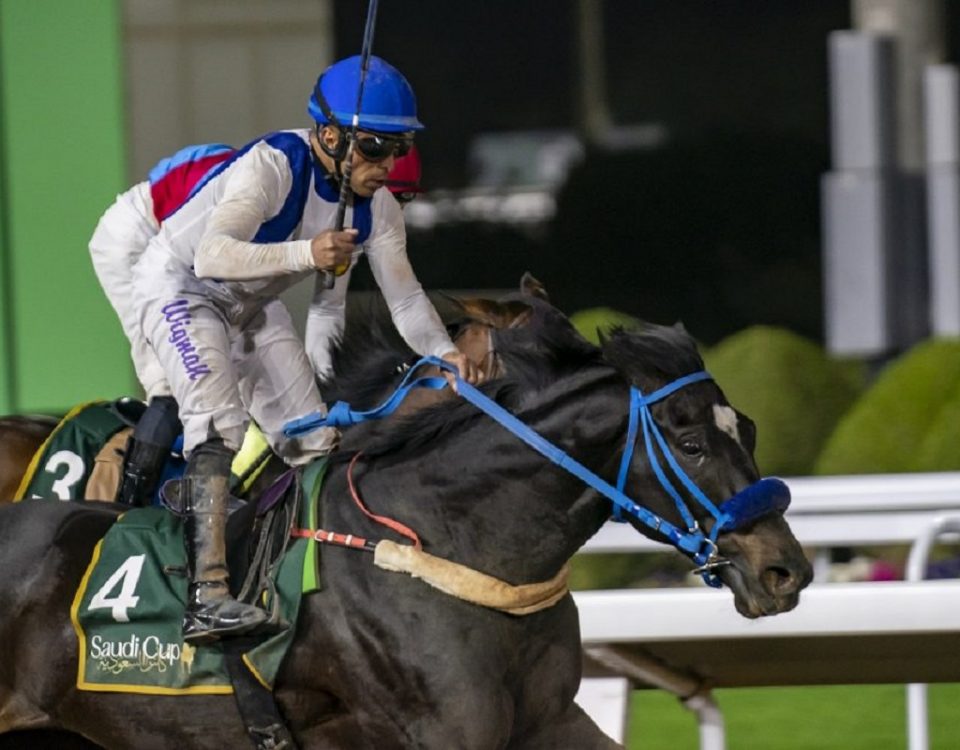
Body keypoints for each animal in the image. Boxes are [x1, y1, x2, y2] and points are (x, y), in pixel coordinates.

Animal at [0, 284, 808, 750]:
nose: (785, 570)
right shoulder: (447, 730)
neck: (451, 540)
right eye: (692, 442)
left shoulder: (549, 721)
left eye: (750, 429)